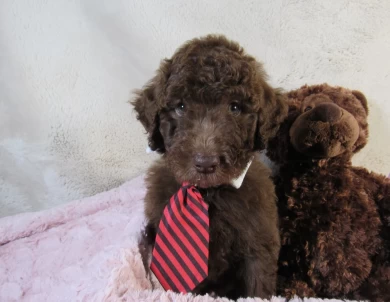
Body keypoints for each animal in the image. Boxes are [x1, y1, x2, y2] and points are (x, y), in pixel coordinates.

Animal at [133, 34, 288, 298]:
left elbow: (257, 285)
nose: (205, 163)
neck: (207, 192)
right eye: (180, 107)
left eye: (235, 107)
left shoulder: (258, 242)